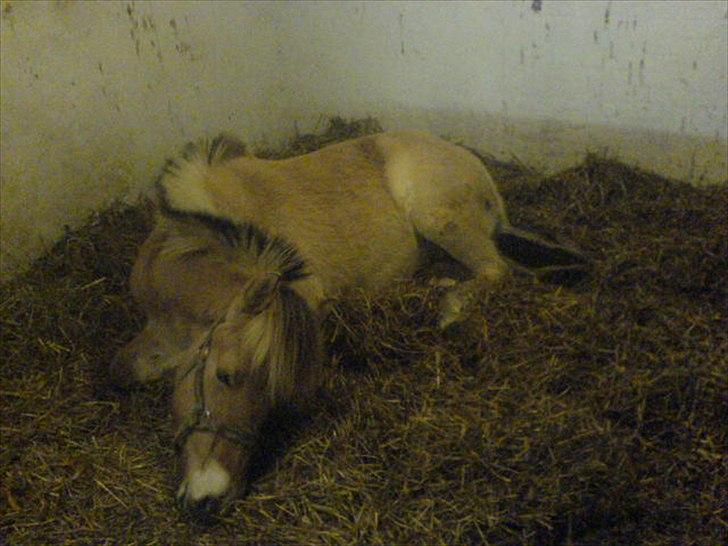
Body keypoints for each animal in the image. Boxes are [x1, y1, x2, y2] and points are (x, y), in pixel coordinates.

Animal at [112, 127, 592, 520]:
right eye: (226, 376)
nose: (211, 500)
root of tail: (471, 163)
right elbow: (125, 368)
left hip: (438, 218)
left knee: (496, 269)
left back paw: (450, 308)